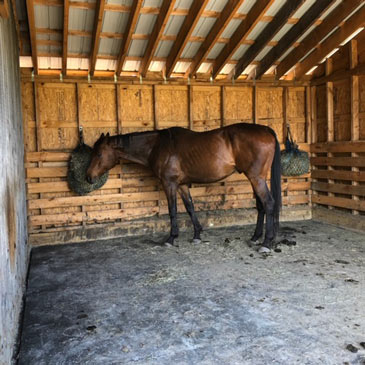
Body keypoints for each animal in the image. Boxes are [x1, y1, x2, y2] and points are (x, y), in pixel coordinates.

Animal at [86, 123, 282, 252]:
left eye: (99, 153)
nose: (88, 177)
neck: (157, 145)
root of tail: (266, 130)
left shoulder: (169, 184)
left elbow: (172, 210)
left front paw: (171, 237)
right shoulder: (181, 185)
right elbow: (190, 207)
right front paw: (197, 235)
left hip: (256, 178)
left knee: (268, 203)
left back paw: (266, 243)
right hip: (257, 178)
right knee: (261, 206)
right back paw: (256, 237)